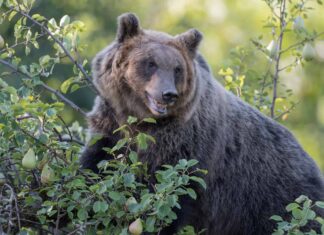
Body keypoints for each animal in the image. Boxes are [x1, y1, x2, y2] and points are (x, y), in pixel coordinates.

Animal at [81, 13, 324, 235]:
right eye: (150, 63)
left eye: (177, 68)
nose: (168, 94)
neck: (143, 122)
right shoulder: (111, 124)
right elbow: (95, 167)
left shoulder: (187, 145)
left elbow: (173, 195)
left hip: (278, 199)